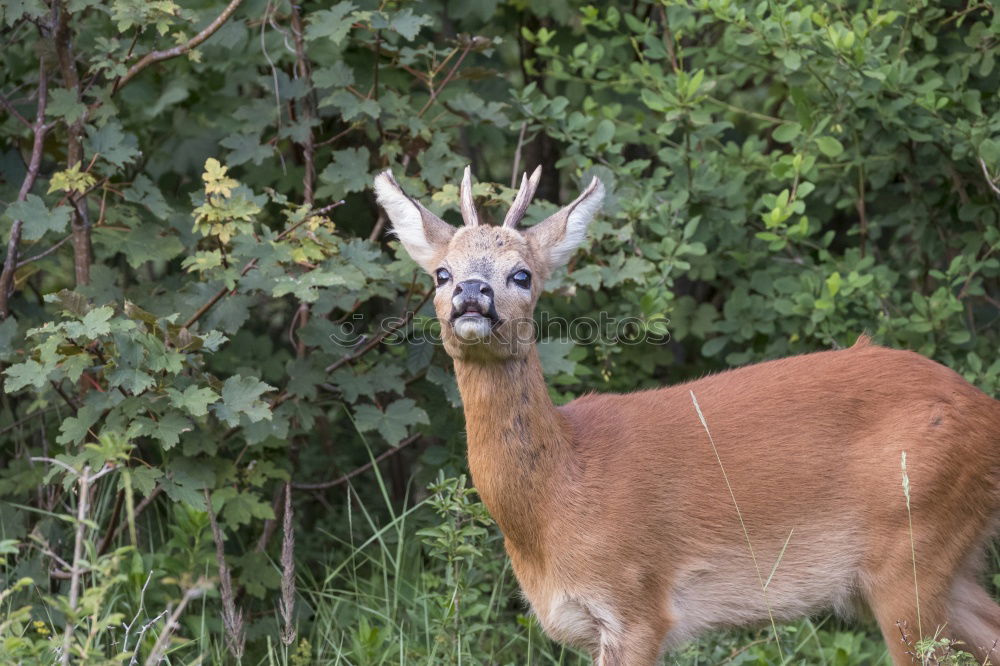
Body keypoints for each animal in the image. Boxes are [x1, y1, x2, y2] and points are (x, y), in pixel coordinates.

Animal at [374, 163, 1000, 660]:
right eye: (441, 272)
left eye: (522, 274)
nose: (471, 293)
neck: (557, 495)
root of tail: (986, 410)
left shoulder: (637, 604)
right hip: (945, 561)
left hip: (912, 549)